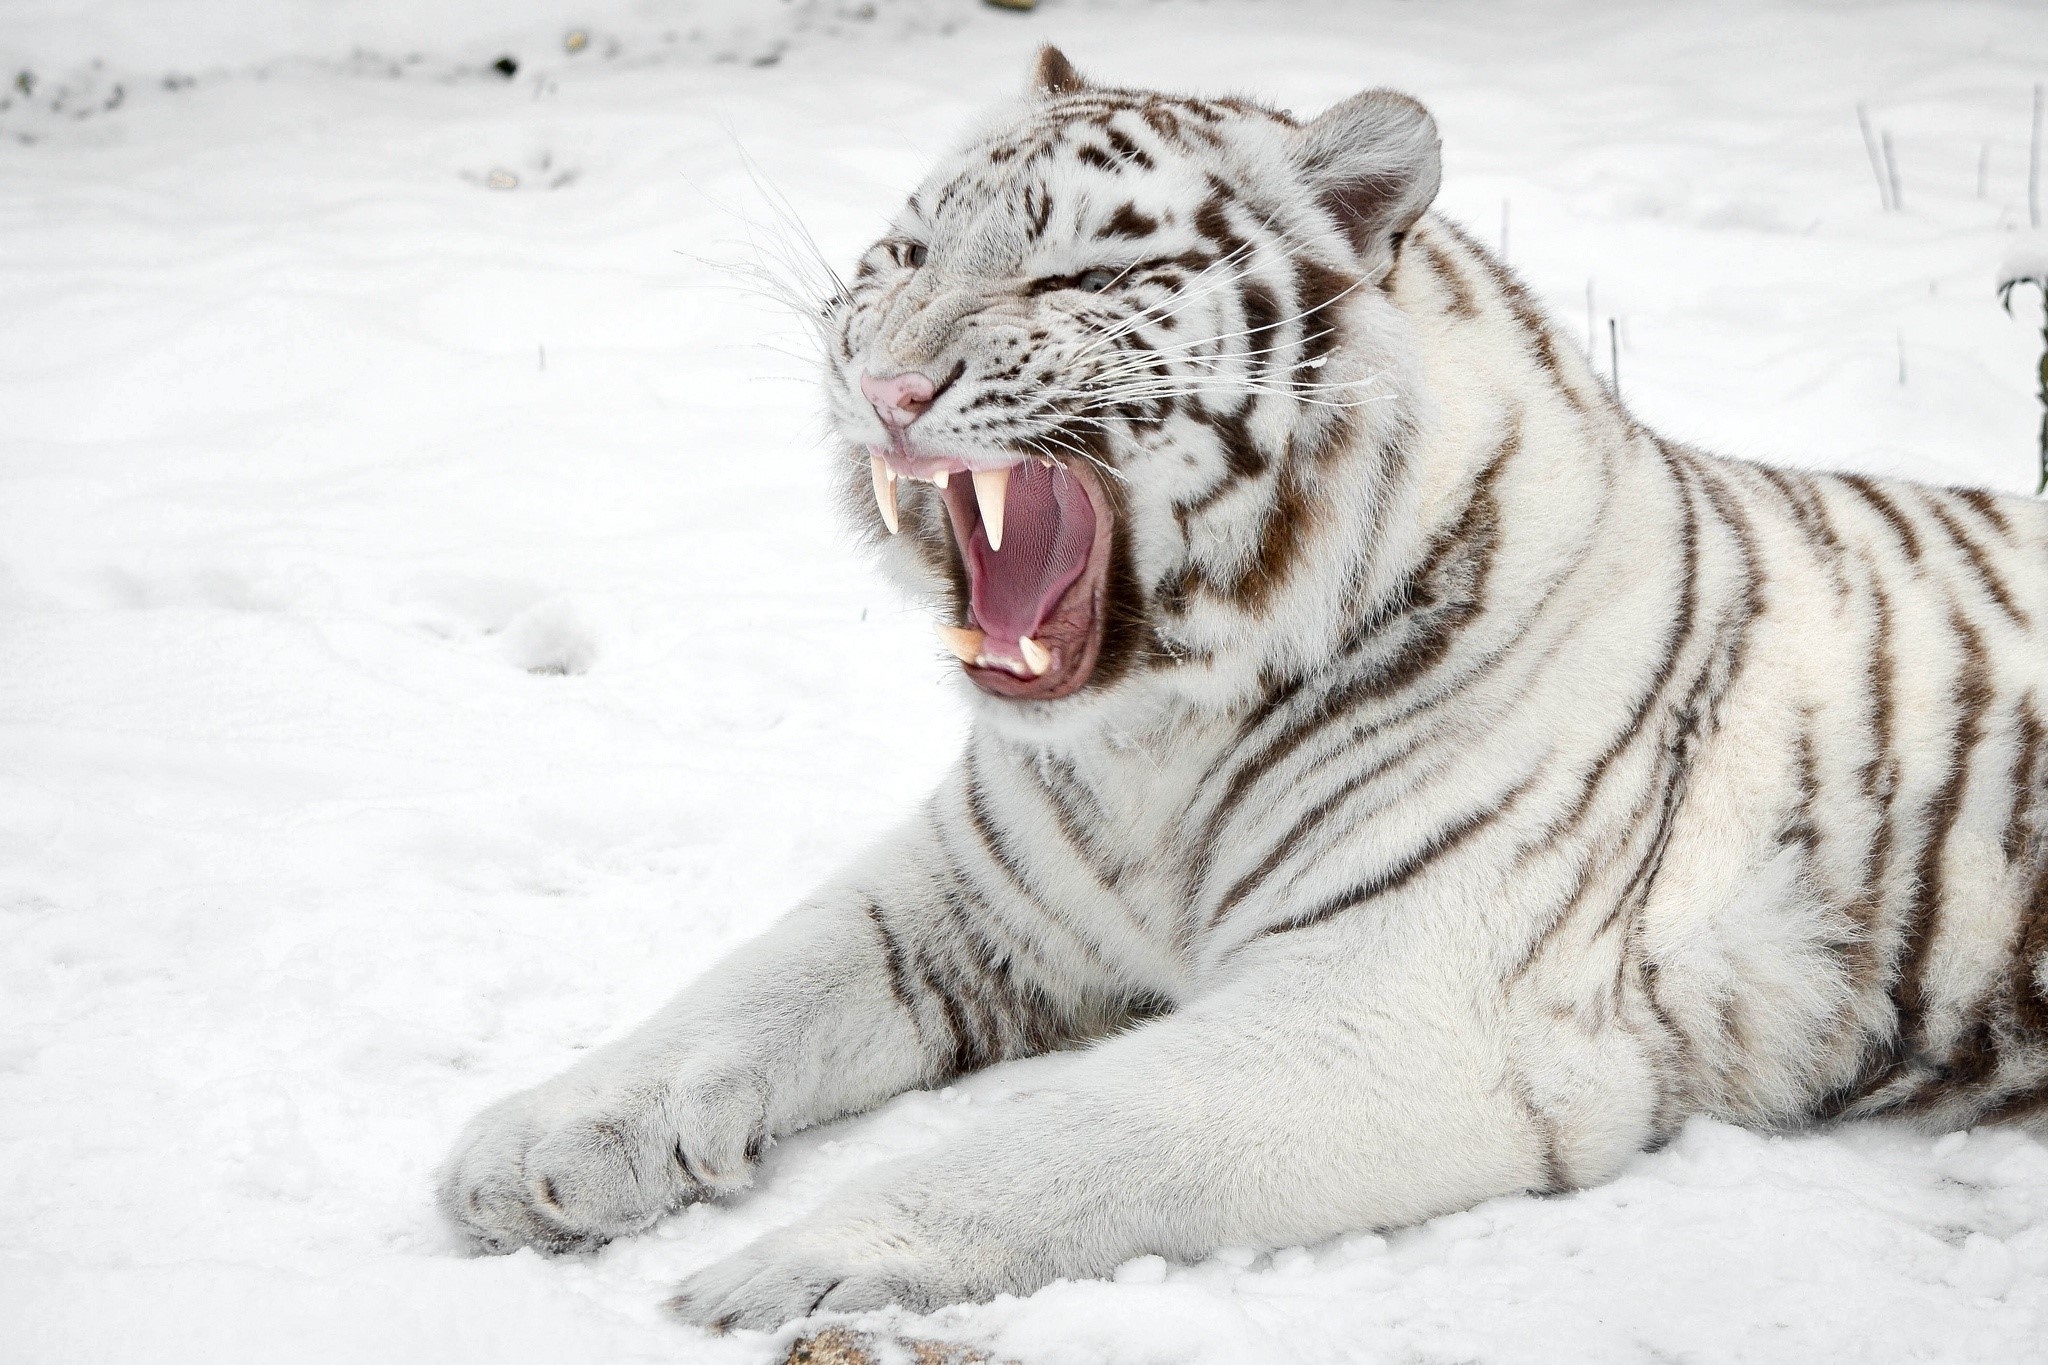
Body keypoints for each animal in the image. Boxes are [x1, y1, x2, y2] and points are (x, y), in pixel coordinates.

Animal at [437, 46, 2048, 1332]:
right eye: (898, 257)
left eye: (1073, 278)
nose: (885, 391)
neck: (1156, 738)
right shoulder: (965, 895)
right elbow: (747, 988)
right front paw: (532, 1150)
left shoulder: (1402, 1005)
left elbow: (1067, 1136)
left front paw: (794, 1265)